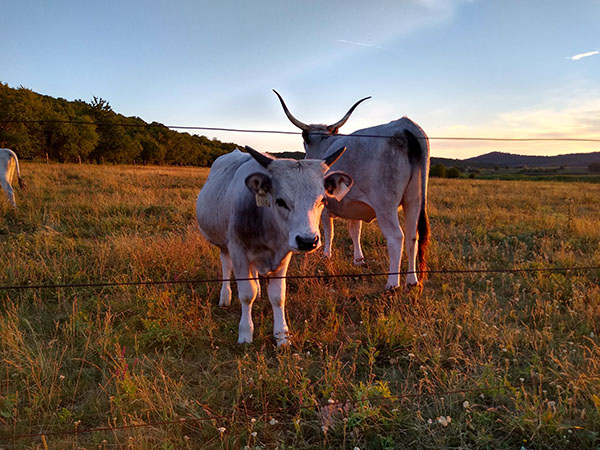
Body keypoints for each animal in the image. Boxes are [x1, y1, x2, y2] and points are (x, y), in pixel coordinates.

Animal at [197, 146, 354, 346]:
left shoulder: (283, 254)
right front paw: (245, 333)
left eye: (323, 201)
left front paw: (282, 335)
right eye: (280, 201)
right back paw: (225, 296)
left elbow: (278, 296)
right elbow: (246, 293)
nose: (307, 241)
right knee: (226, 265)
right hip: (224, 244)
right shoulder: (238, 250)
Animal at [272, 91, 432, 292]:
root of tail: (404, 125)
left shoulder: (325, 207)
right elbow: (355, 231)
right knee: (413, 236)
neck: (323, 144)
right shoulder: (355, 206)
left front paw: (326, 255)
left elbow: (329, 231)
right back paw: (412, 281)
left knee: (396, 237)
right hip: (414, 200)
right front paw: (358, 259)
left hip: (385, 204)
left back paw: (392, 284)